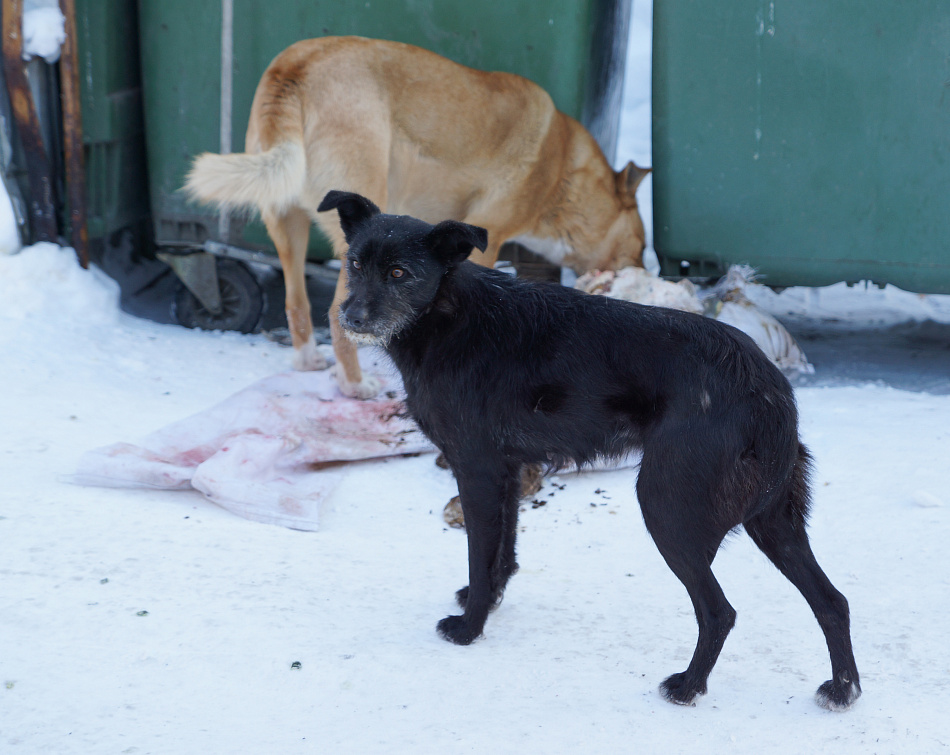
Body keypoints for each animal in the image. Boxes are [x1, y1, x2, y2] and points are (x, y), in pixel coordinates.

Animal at [186, 35, 652, 398]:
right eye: (642, 244)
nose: (645, 272)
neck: (562, 173)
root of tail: (294, 66)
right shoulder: (489, 238)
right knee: (336, 317)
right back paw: (355, 386)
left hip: (286, 225)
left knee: (297, 303)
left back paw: (308, 361)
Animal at [316, 192, 860, 712]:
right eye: (354, 264)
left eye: (399, 273)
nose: (349, 317)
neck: (445, 315)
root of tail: (769, 392)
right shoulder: (508, 470)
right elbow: (501, 553)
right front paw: (487, 599)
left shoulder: (475, 469)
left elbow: (479, 553)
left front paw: (469, 628)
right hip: (774, 521)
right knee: (833, 601)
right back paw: (843, 690)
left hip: (667, 508)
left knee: (719, 611)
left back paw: (688, 687)